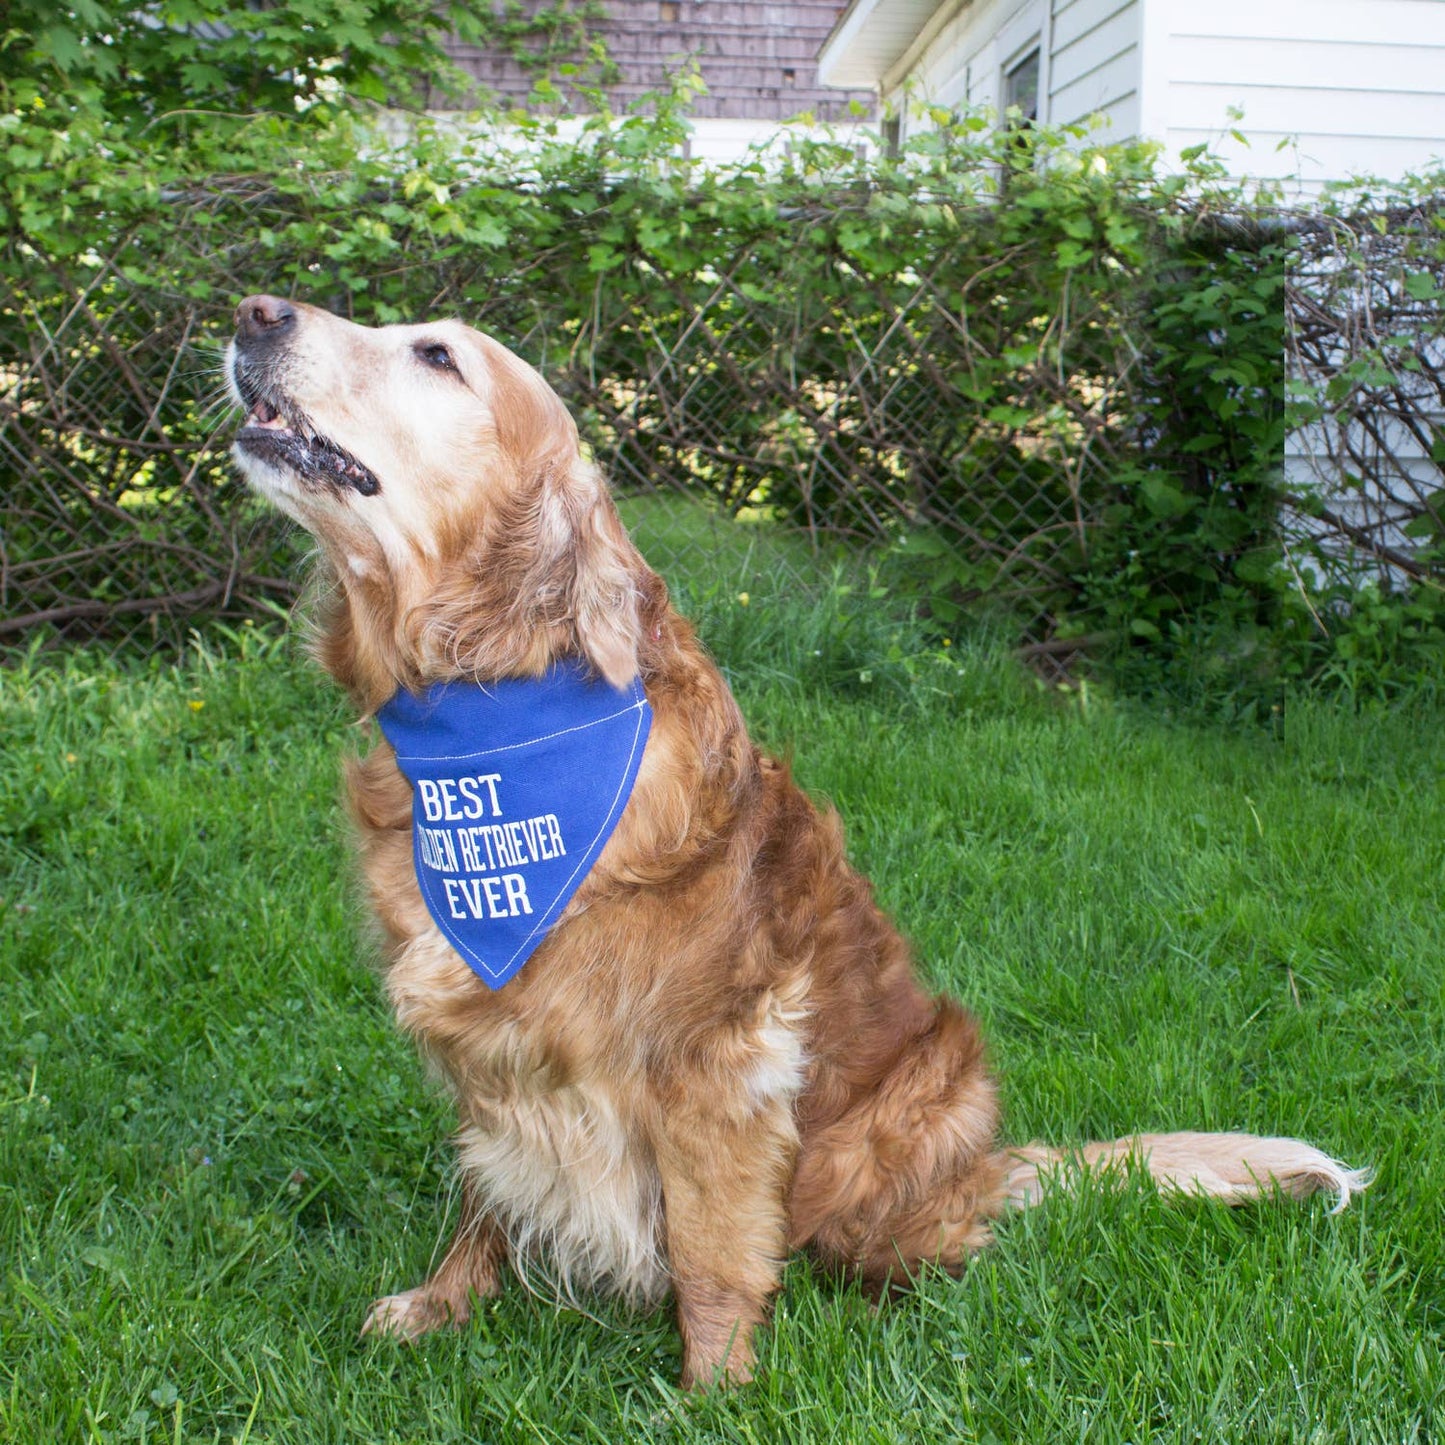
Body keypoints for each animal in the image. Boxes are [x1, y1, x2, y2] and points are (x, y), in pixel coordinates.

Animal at [225, 293, 1364, 1387]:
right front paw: (443, 1305)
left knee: (913, 1244)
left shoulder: (716, 1059)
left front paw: (715, 1387)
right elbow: (480, 1190)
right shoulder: (487, 1050)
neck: (486, 719)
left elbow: (711, 1248)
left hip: (917, 1102)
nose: (252, 311)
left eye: (436, 356)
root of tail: (988, 1164)